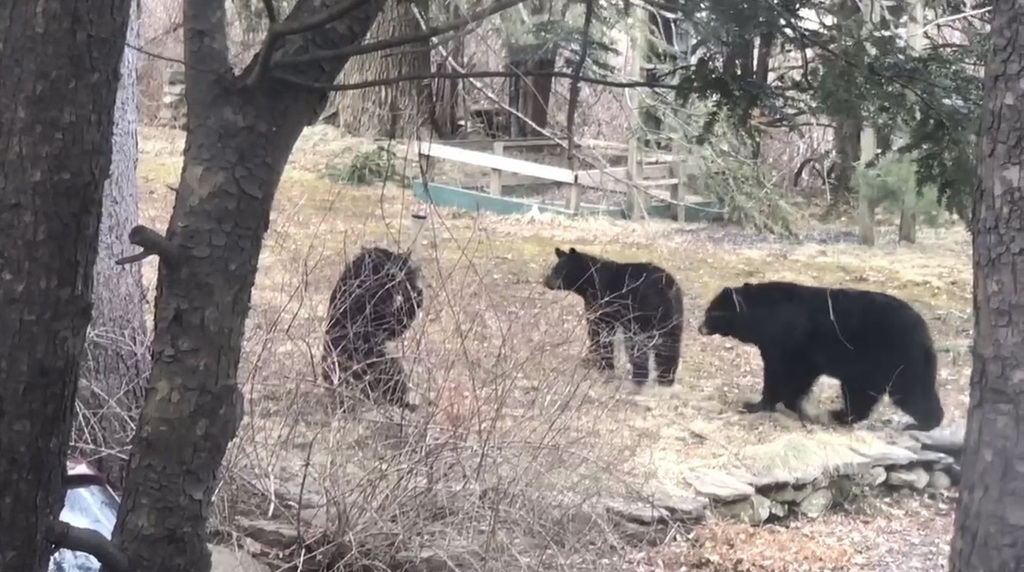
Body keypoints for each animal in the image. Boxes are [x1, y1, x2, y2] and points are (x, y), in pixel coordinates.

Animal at [320, 246, 425, 411]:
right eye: (407, 271)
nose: (413, 282)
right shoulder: (383, 322)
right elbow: (399, 321)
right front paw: (416, 297)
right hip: (385, 364)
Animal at [542, 246, 685, 387]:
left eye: (560, 269)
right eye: (554, 268)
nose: (547, 282)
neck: (591, 280)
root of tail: (666, 288)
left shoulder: (602, 304)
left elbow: (599, 332)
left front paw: (601, 365)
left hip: (640, 315)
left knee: (638, 345)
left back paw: (638, 378)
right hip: (674, 318)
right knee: (671, 346)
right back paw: (666, 379)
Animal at [697, 280, 944, 431]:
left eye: (710, 312)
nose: (700, 327)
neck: (762, 317)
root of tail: (925, 329)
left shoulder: (787, 341)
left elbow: (781, 372)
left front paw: (755, 404)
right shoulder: (797, 352)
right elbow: (799, 376)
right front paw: (795, 406)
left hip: (896, 356)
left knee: (912, 390)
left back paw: (923, 423)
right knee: (861, 393)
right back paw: (842, 415)